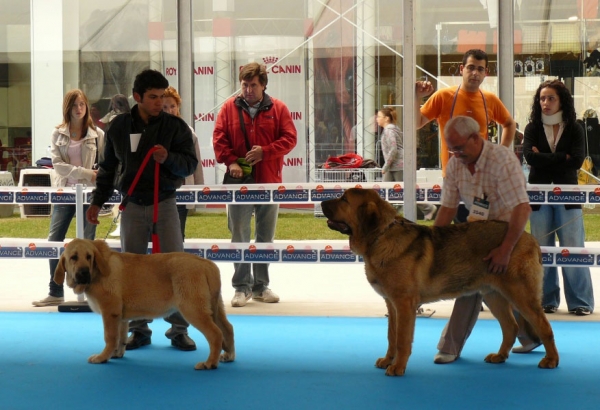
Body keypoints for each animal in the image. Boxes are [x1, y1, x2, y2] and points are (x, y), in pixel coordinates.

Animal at [54, 239, 234, 370]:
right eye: (73, 257)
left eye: (89, 257)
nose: (84, 273)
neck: (98, 270)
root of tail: (207, 264)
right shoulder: (120, 317)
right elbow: (120, 337)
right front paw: (116, 354)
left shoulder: (110, 312)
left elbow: (110, 337)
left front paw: (102, 357)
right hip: (215, 308)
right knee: (228, 328)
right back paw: (229, 356)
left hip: (193, 309)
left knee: (215, 334)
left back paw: (210, 363)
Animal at [322, 187, 560, 376]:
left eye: (344, 199)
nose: (322, 202)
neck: (380, 236)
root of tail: (529, 238)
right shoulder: (392, 304)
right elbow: (391, 335)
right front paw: (388, 360)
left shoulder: (404, 304)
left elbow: (402, 339)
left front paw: (397, 367)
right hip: (494, 295)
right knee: (510, 326)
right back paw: (500, 356)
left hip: (521, 294)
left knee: (544, 326)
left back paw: (551, 360)